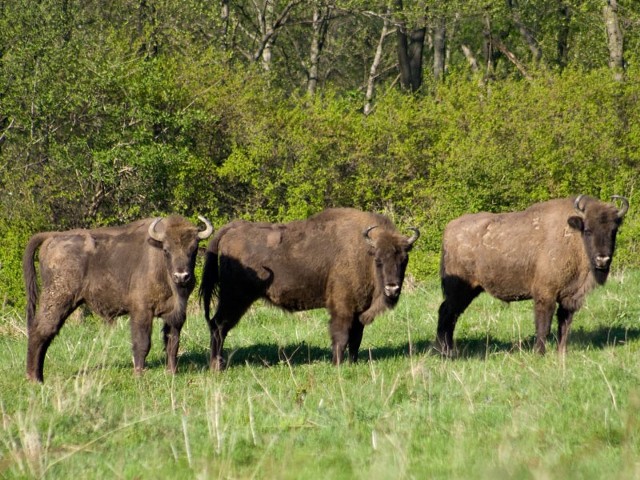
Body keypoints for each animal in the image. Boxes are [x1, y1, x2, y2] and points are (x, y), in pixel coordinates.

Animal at [23, 215, 212, 382]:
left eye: (193, 249)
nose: (182, 276)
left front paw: (171, 373)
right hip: (58, 299)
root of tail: (52, 236)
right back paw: (34, 379)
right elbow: (142, 344)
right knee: (41, 331)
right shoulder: (142, 311)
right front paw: (139, 375)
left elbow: (172, 343)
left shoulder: (175, 315)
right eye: (166, 250)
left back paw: (38, 377)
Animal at [200, 208, 420, 370]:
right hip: (235, 298)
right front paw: (337, 364)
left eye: (404, 259)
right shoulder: (342, 308)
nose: (392, 288)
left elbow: (356, 339)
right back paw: (216, 366)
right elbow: (341, 336)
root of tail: (233, 228)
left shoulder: (359, 310)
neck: (364, 251)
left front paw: (353, 363)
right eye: (379, 260)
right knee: (218, 325)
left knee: (218, 326)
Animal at [438, 195, 628, 356]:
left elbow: (564, 325)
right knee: (446, 313)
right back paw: (445, 350)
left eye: (613, 230)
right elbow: (544, 326)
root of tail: (449, 229)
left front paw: (562, 353)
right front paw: (540, 353)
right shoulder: (546, 295)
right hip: (460, 290)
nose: (602, 259)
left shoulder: (569, 298)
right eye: (588, 230)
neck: (573, 237)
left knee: (450, 315)